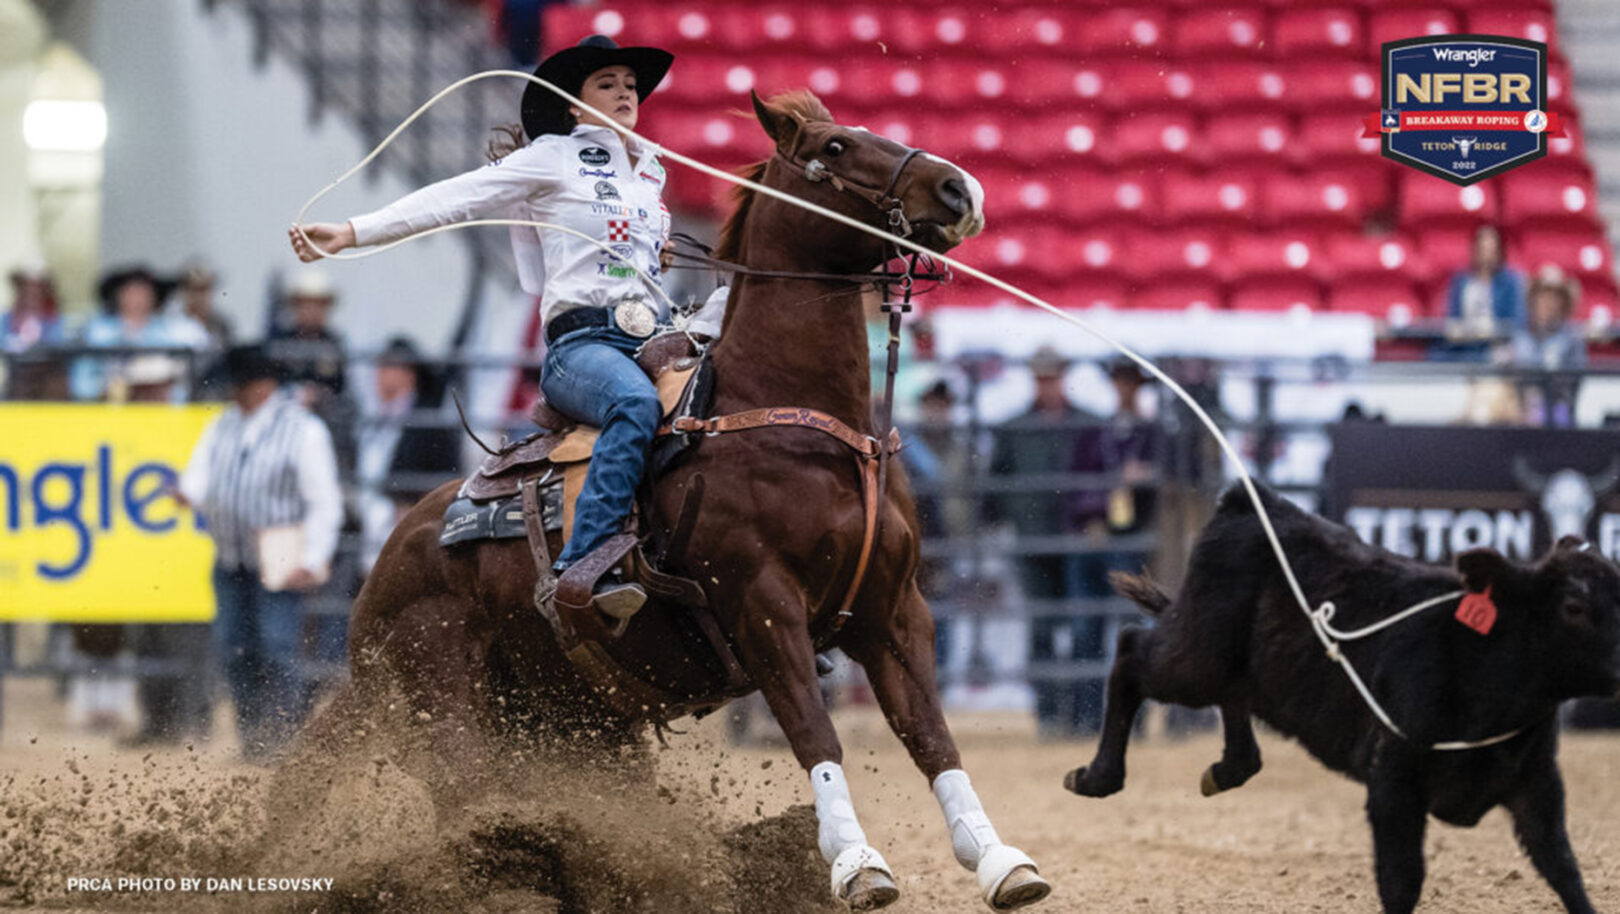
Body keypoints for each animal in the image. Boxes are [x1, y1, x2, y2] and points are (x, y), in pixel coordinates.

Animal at [301, 91, 1049, 907]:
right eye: (835, 147)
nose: (959, 190)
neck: (802, 422)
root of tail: (381, 569)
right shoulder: (762, 605)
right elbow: (815, 734)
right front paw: (857, 864)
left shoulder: (892, 609)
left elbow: (931, 736)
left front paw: (1000, 859)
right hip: (450, 717)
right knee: (473, 809)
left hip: (579, 722)